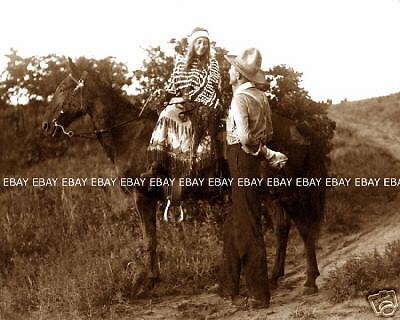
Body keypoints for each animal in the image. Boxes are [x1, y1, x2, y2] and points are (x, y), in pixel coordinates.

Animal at [42, 58, 326, 298]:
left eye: (63, 88)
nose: (46, 125)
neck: (129, 137)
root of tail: (297, 127)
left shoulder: (142, 197)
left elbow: (149, 239)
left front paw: (145, 283)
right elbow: (151, 239)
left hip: (287, 190)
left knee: (303, 227)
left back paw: (310, 281)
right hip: (271, 193)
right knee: (282, 227)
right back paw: (276, 277)